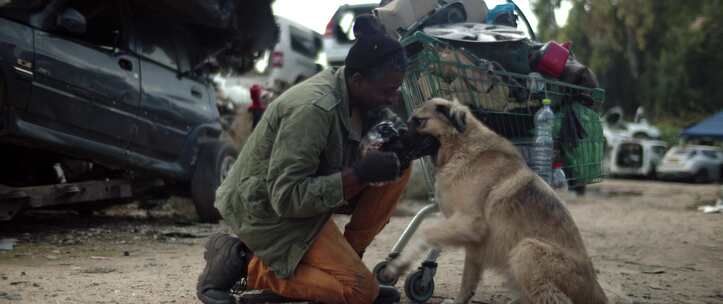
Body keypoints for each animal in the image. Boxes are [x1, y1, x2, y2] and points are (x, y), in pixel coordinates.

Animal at [382, 98, 608, 302]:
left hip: (526, 250)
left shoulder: (470, 223)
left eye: (419, 121)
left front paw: (399, 264)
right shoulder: (472, 240)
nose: (389, 141)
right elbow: (468, 280)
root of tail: (597, 291)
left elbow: (426, 232)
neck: (460, 147)